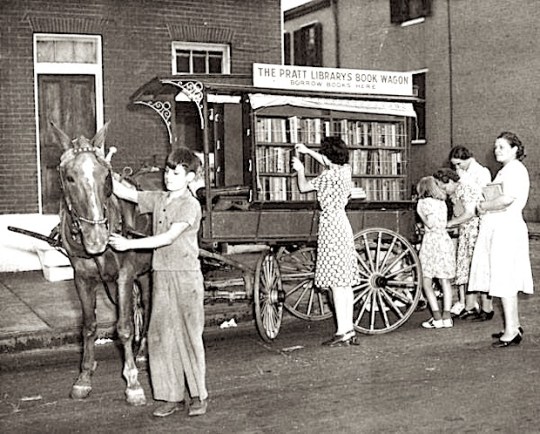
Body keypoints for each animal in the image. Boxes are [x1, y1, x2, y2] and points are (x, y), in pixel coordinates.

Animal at [51, 120, 152, 406]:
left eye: (106, 177)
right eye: (69, 177)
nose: (96, 239)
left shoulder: (125, 275)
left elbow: (124, 327)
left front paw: (132, 383)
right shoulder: (82, 279)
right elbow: (88, 327)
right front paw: (84, 377)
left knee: (148, 307)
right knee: (143, 306)